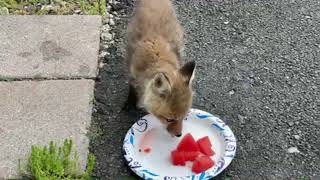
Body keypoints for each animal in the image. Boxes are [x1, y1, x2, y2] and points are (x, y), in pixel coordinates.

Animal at [125, 0, 195, 136]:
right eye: (169, 119)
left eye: (184, 116)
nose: (179, 135)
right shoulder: (132, 74)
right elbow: (132, 89)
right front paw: (129, 103)